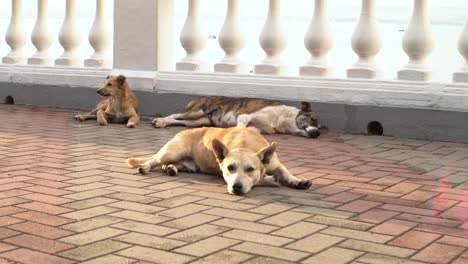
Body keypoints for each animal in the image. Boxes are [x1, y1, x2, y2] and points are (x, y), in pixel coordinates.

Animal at [126, 127, 312, 195]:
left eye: (250, 169)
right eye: (230, 168)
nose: (236, 187)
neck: (245, 145)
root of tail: (181, 132)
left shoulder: (276, 164)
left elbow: (286, 173)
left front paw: (297, 181)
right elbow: (262, 180)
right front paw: (269, 179)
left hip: (187, 164)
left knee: (167, 165)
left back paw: (171, 169)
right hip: (171, 152)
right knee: (154, 160)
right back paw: (145, 167)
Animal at [154, 96, 322, 138]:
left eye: (319, 127)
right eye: (312, 118)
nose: (318, 133)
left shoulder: (256, 128)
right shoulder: (245, 116)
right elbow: (240, 128)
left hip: (196, 122)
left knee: (179, 121)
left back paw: (163, 123)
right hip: (197, 111)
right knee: (174, 115)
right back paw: (160, 121)